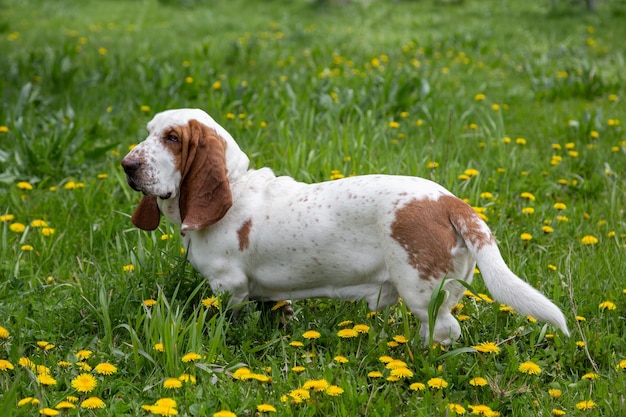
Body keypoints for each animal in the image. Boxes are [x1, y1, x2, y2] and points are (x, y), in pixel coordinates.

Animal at [120, 108, 564, 344]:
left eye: (172, 138)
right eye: (149, 133)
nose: (127, 165)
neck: (236, 185)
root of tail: (450, 202)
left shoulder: (228, 286)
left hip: (422, 294)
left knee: (444, 332)